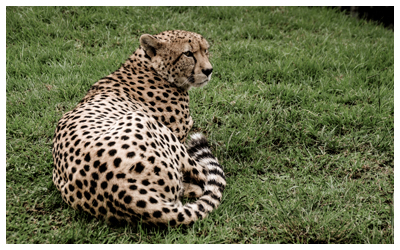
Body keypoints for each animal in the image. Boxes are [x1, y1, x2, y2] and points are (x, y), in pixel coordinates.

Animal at [50, 29, 225, 227]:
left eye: (206, 50)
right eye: (188, 53)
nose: (208, 70)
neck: (149, 66)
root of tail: (122, 190)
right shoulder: (178, 135)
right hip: (147, 123)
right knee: (206, 175)